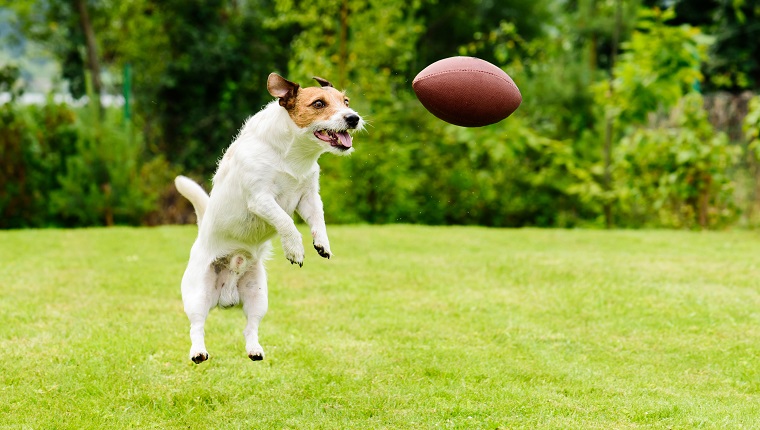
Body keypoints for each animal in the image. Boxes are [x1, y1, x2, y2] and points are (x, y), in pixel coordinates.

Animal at [174, 73, 364, 362]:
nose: (353, 118)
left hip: (257, 296)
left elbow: (318, 219)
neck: (295, 156)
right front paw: (295, 248)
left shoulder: (308, 197)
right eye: (319, 103)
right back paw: (198, 351)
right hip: (198, 294)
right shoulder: (261, 199)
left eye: (346, 102)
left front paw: (322, 243)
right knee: (197, 325)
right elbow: (286, 222)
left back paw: (254, 350)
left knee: (250, 327)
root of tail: (226, 296)